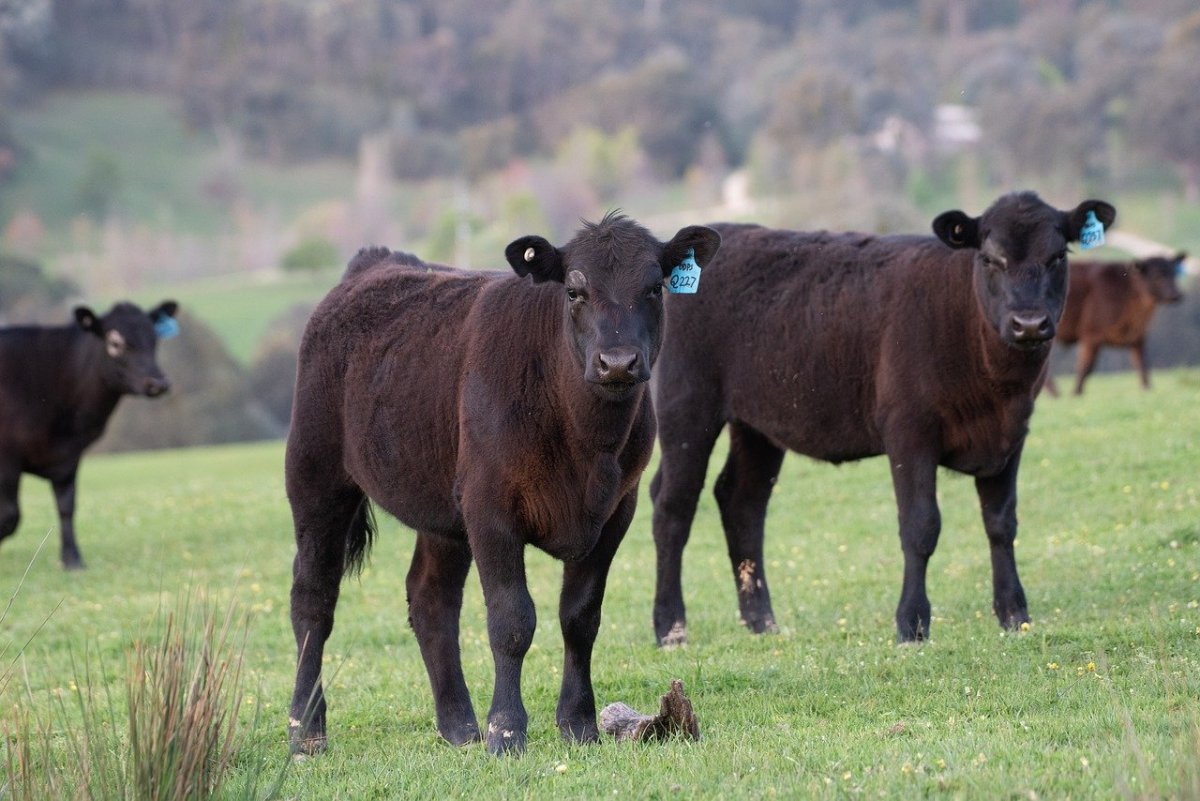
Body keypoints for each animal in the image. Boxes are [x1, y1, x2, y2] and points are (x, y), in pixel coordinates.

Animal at [0, 299, 177, 568]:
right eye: (115, 343)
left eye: (154, 338)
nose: (157, 383)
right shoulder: (8, 458)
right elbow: (10, 515)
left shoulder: (68, 456)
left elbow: (67, 506)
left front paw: (72, 559)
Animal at [288, 214, 720, 757]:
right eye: (574, 290)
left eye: (655, 288)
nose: (618, 362)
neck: (585, 442)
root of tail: (375, 264)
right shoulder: (490, 508)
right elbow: (513, 620)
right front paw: (507, 731)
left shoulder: (617, 511)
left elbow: (581, 618)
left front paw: (579, 723)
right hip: (316, 475)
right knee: (313, 599)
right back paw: (306, 730)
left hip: (442, 512)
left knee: (430, 600)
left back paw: (458, 725)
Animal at [648, 191, 1113, 642]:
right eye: (989, 259)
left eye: (1058, 256)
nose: (1029, 324)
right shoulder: (909, 430)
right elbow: (920, 526)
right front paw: (912, 622)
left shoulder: (1011, 435)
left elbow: (1001, 523)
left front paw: (1014, 614)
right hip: (685, 407)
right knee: (673, 505)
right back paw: (671, 627)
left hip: (758, 423)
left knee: (742, 501)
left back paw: (762, 621)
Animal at [1046, 253, 1185, 393]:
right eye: (1157, 276)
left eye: (1174, 273)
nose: (1176, 295)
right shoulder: (1091, 334)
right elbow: (1085, 367)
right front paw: (1076, 393)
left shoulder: (1138, 338)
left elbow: (1142, 365)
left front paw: (1147, 390)